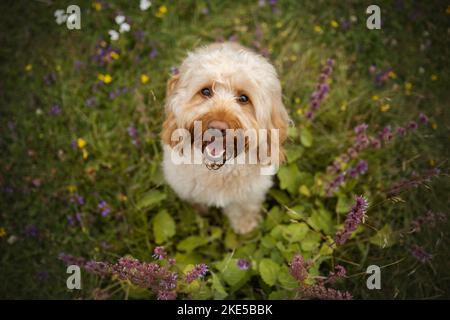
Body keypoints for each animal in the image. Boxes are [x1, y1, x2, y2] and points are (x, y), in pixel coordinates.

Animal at [160, 42, 290, 232]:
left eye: (243, 98)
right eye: (206, 91)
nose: (217, 127)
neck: (218, 169)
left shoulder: (249, 193)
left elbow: (243, 209)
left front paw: (245, 227)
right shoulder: (186, 188)